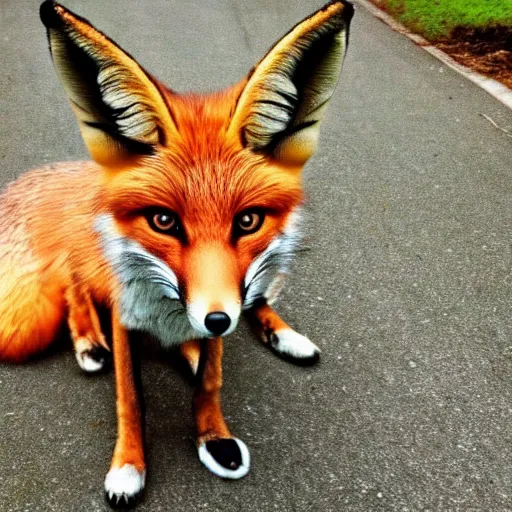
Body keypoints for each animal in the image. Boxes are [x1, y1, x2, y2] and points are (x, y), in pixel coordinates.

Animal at [0, 0, 352, 506]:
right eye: (163, 222)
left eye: (248, 221)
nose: (216, 319)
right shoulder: (127, 315)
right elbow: (130, 397)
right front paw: (128, 465)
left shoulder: (226, 299)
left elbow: (211, 380)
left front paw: (214, 437)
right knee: (72, 281)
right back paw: (89, 341)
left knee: (254, 305)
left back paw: (274, 338)